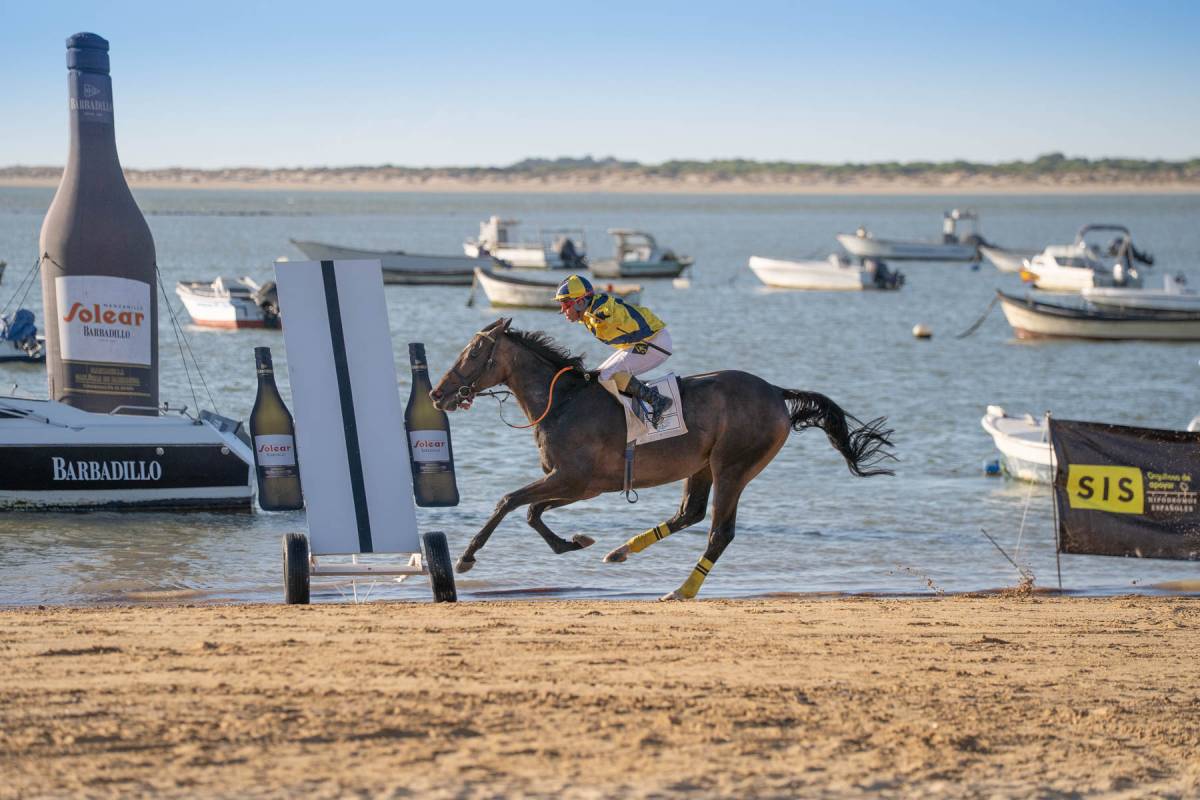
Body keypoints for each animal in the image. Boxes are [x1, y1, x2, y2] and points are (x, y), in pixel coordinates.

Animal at [430, 318, 896, 600]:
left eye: (473, 353)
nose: (437, 394)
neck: (561, 401)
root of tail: (776, 392)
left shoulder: (574, 479)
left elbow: (508, 502)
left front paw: (466, 558)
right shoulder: (582, 486)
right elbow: (532, 512)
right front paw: (575, 542)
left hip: (733, 467)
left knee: (719, 532)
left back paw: (681, 590)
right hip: (702, 467)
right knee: (690, 513)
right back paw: (621, 551)